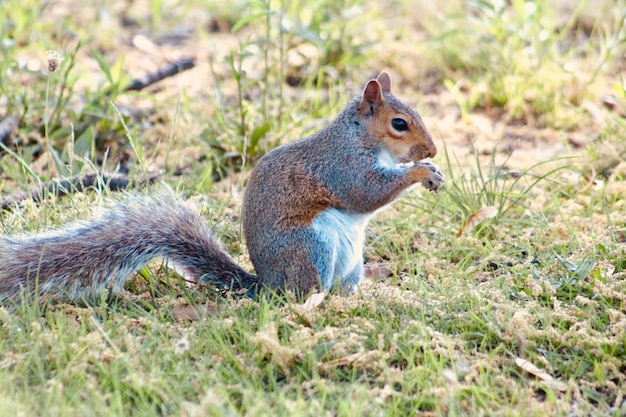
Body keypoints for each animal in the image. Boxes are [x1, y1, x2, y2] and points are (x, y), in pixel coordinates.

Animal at [0, 72, 442, 302]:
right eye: (399, 124)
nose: (433, 149)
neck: (359, 137)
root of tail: (267, 286)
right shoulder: (341, 166)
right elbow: (364, 193)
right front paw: (421, 172)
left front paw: (432, 169)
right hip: (310, 246)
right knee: (305, 293)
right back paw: (317, 302)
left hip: (350, 262)